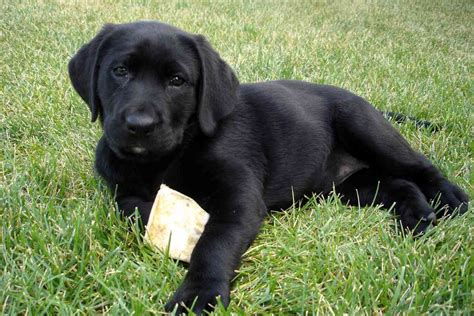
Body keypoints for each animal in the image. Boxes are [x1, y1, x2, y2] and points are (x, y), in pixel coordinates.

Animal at [68, 21, 468, 314]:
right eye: (120, 71)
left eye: (177, 81)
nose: (139, 125)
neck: (171, 154)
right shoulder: (123, 193)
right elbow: (139, 208)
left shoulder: (239, 201)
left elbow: (213, 242)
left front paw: (198, 295)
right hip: (352, 186)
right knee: (400, 185)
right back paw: (416, 218)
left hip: (365, 128)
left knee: (420, 169)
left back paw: (449, 199)